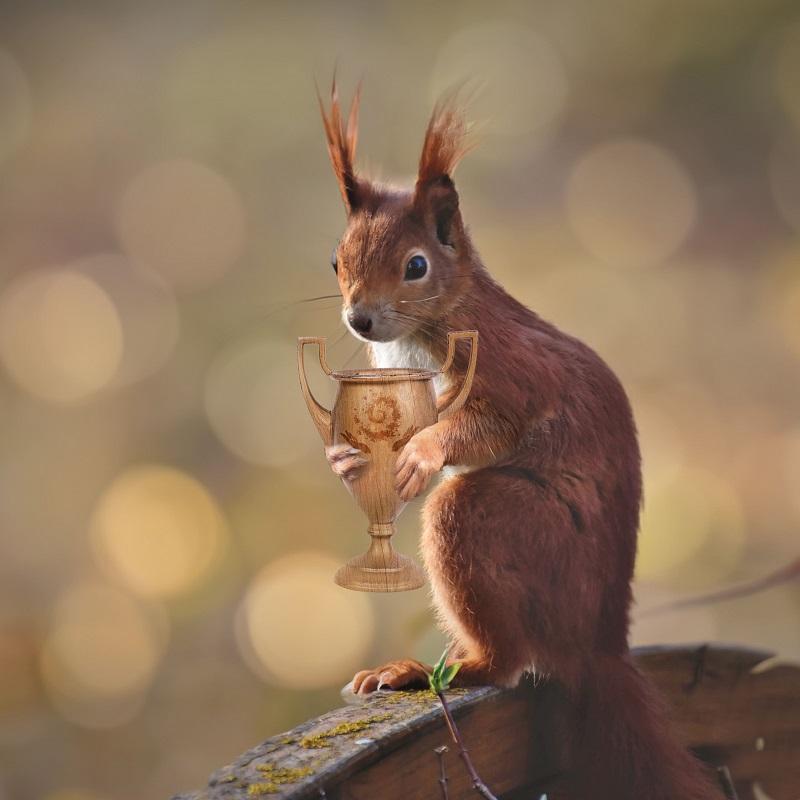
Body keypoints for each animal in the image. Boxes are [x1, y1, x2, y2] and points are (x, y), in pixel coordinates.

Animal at [318, 83, 720, 800]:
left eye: (416, 266)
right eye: (336, 260)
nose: (359, 318)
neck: (430, 326)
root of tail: (599, 642)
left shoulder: (513, 372)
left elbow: (488, 425)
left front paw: (423, 451)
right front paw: (349, 458)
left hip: (518, 530)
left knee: (503, 655)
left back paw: (436, 669)